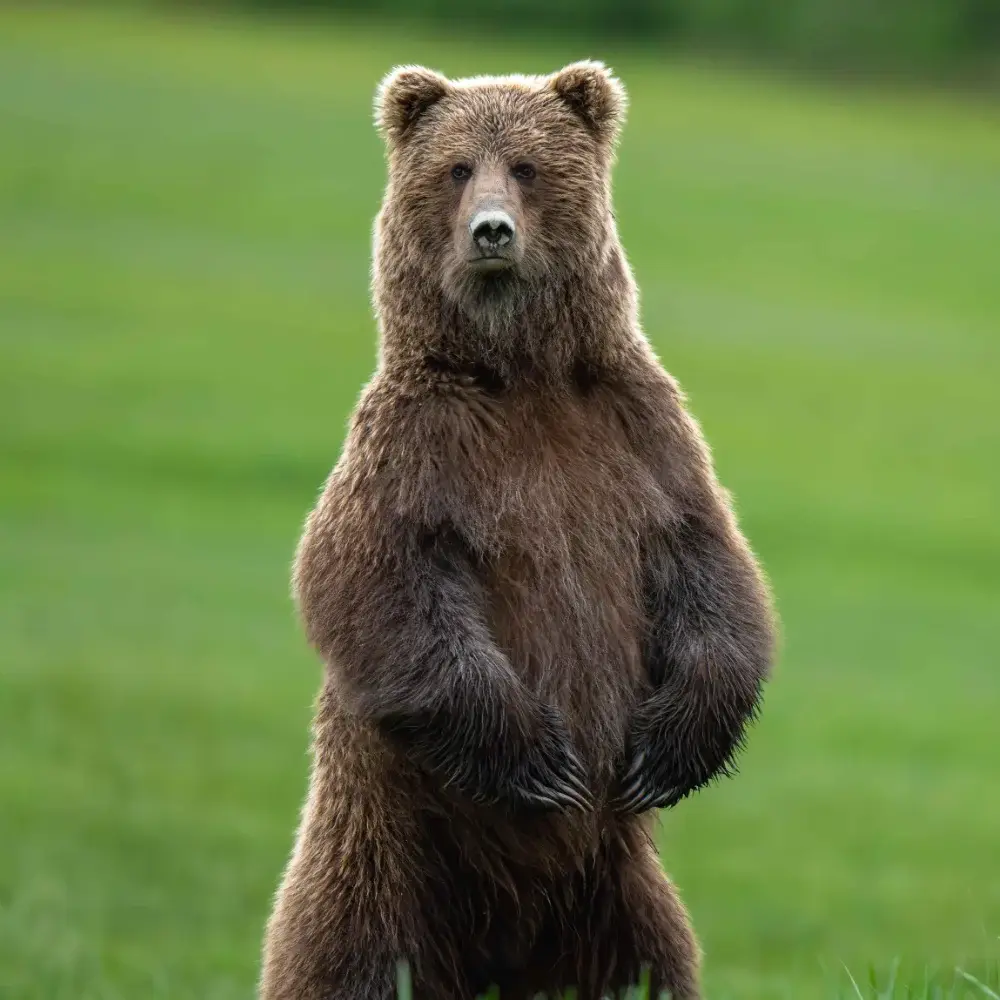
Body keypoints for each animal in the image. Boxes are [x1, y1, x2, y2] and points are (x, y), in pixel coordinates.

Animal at [259, 60, 777, 1000]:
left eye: (529, 167)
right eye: (458, 167)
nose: (492, 232)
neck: (522, 375)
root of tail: (497, 953)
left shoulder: (640, 436)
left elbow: (709, 563)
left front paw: (667, 749)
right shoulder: (419, 450)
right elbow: (376, 581)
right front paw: (542, 761)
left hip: (614, 893)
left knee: (648, 965)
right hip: (387, 848)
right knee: (348, 954)